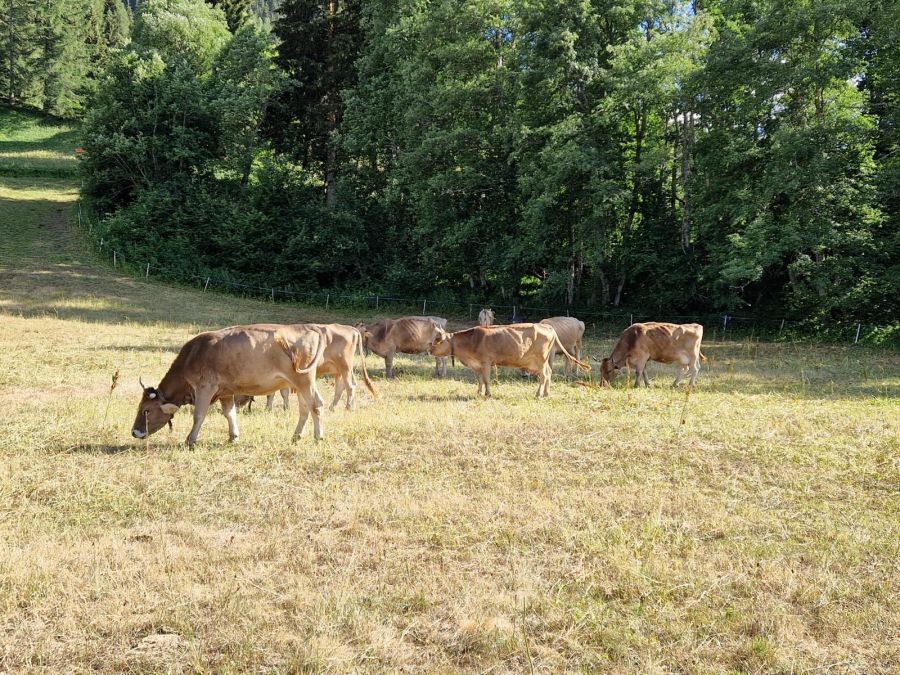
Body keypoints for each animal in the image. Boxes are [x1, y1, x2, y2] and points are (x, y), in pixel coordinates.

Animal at [429, 323, 590, 398]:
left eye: (438, 340)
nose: (429, 350)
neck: (473, 341)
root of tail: (547, 326)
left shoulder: (486, 362)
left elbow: (486, 380)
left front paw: (488, 394)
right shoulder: (478, 365)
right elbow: (480, 380)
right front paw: (479, 393)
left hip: (541, 360)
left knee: (544, 376)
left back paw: (538, 394)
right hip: (543, 362)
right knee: (549, 373)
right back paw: (546, 393)